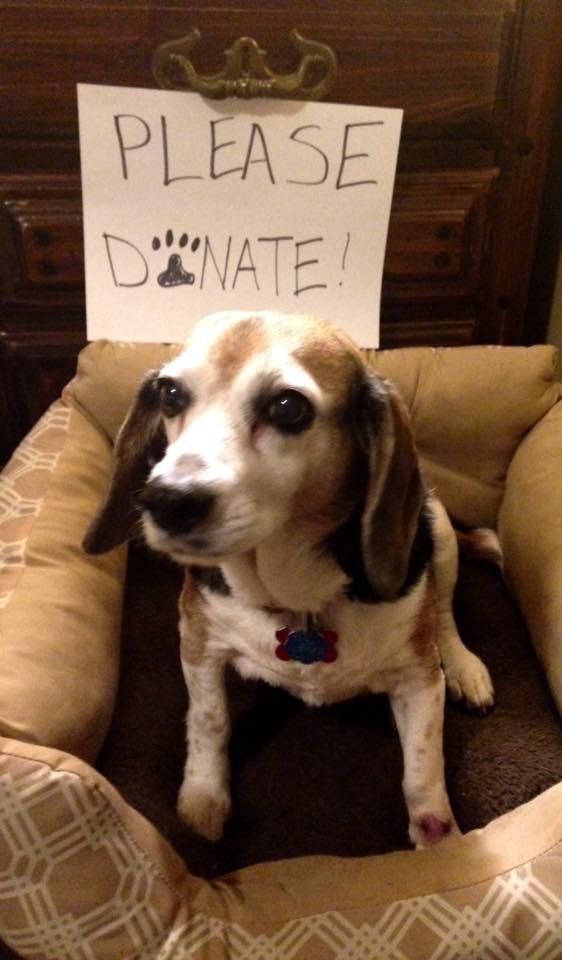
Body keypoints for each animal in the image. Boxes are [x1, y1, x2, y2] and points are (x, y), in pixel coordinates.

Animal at [84, 308, 494, 848]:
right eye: (170, 394)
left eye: (287, 407)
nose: (165, 500)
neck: (298, 600)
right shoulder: (198, 642)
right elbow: (209, 720)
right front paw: (204, 796)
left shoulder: (419, 680)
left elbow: (423, 771)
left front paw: (439, 843)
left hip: (440, 532)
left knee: (444, 614)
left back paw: (465, 668)